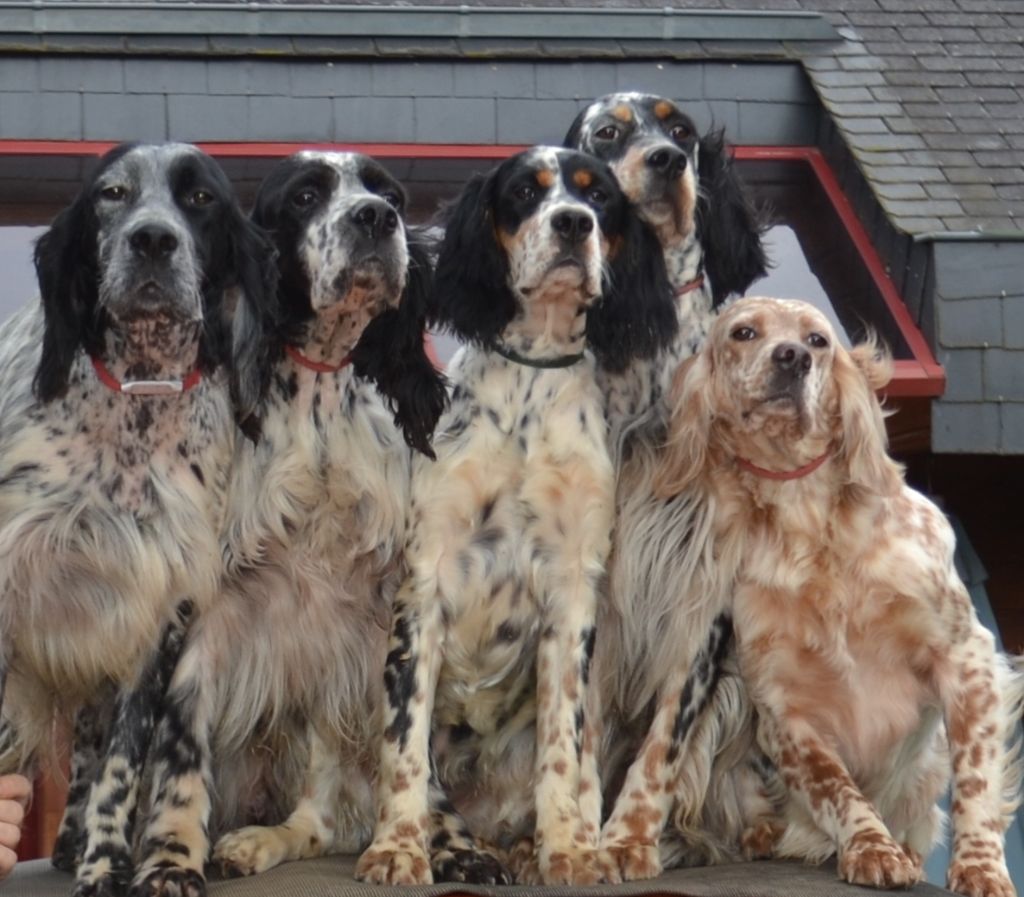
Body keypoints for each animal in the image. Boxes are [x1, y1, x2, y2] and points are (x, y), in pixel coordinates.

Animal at [0, 143, 278, 892]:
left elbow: (121, 767)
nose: (152, 239)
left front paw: (105, 862)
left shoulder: (156, 613)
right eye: (112, 194)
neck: (136, 403)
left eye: (201, 198)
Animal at [129, 150, 448, 897]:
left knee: (329, 813)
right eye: (305, 196)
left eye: (391, 194)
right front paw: (170, 858)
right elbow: (181, 751)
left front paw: (406, 846)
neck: (322, 398)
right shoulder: (203, 608)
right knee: (314, 817)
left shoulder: (407, 598)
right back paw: (251, 840)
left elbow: (407, 742)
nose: (376, 219)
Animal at [356, 147, 675, 888]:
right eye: (526, 191)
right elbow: (405, 747)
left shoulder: (572, 589)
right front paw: (396, 849)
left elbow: (563, 746)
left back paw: (533, 847)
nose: (572, 223)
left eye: (599, 197)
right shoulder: (425, 583)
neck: (535, 375)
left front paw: (568, 851)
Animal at [565, 94, 770, 880]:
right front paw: (577, 834)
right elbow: (581, 732)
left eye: (680, 129)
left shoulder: (704, 595)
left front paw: (627, 838)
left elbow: (663, 747)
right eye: (608, 132)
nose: (668, 161)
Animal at [655, 299, 1024, 897]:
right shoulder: (784, 704)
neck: (811, 524)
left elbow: (975, 782)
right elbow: (835, 787)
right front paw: (872, 848)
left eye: (818, 340)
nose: (791, 357)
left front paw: (980, 868)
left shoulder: (966, 656)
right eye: (744, 332)